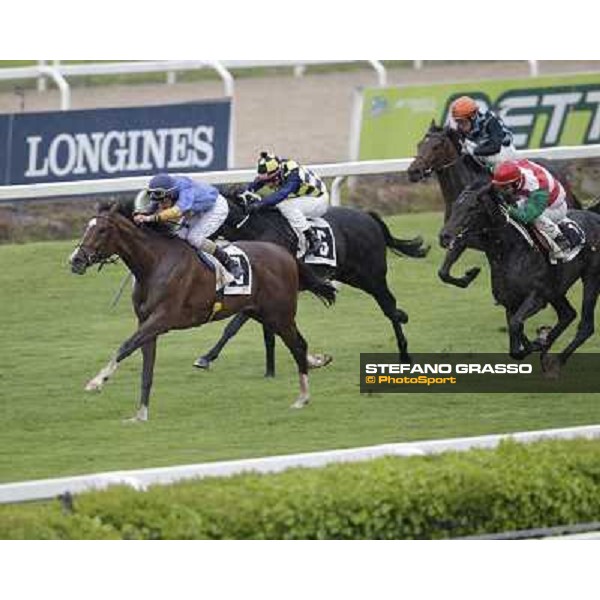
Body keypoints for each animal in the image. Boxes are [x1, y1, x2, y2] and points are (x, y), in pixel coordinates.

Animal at [69, 204, 338, 420]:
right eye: (87, 228)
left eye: (102, 230)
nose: (76, 260)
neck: (154, 263)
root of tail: (286, 254)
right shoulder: (146, 323)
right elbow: (147, 370)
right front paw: (141, 414)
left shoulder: (161, 319)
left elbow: (125, 346)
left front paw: (96, 382)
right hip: (262, 313)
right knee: (298, 343)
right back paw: (313, 369)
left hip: (280, 314)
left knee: (298, 346)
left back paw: (302, 397)